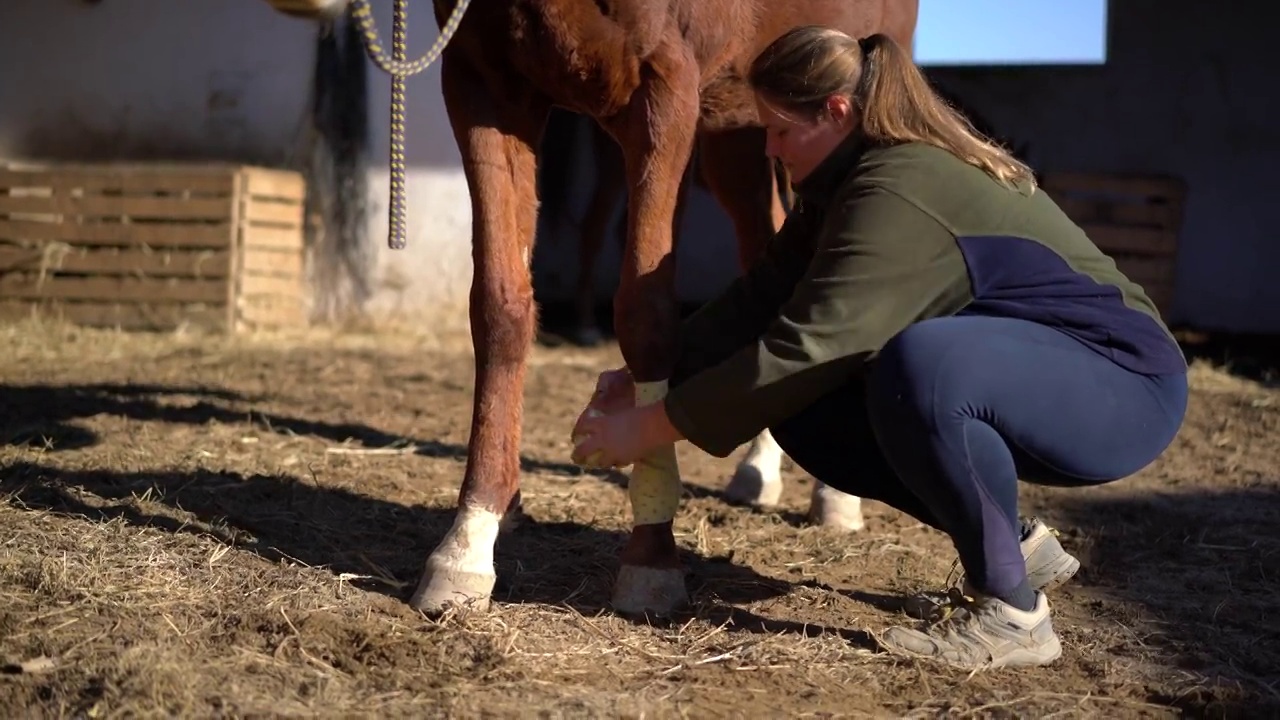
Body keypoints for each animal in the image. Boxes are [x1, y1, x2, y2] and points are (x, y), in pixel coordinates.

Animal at [262, 0, 921, 617]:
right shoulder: (484, 84)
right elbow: (501, 303)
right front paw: (471, 539)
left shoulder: (664, 91)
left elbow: (645, 315)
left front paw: (652, 556)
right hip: (743, 127)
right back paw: (758, 470)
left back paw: (835, 498)